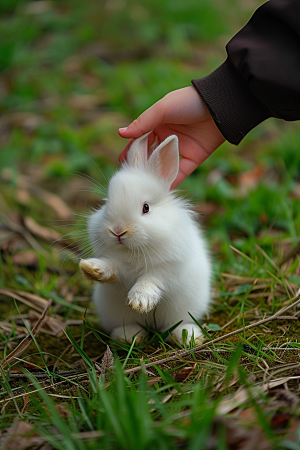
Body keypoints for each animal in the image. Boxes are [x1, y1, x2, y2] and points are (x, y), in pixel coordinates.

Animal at [79, 133, 211, 344]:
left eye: (146, 207)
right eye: (106, 203)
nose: (118, 231)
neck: (134, 249)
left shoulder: (170, 267)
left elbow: (152, 279)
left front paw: (140, 300)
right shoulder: (119, 268)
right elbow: (112, 268)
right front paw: (92, 269)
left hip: (185, 308)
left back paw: (188, 337)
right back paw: (127, 337)